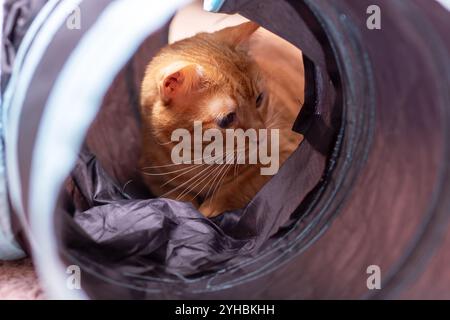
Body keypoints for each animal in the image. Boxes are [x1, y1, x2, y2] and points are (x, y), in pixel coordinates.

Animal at [139, 21, 304, 218]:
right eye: (227, 119)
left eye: (259, 99)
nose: (262, 134)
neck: (199, 159)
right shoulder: (154, 179)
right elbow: (178, 197)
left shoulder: (284, 151)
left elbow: (238, 186)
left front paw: (207, 210)